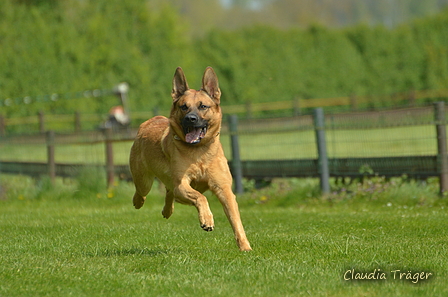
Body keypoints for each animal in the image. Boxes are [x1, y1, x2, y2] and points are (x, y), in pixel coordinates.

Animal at [130, 66, 252, 250]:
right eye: (183, 107)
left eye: (203, 106)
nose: (190, 119)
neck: (199, 152)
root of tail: (150, 121)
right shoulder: (182, 185)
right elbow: (200, 197)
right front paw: (207, 219)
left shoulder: (224, 189)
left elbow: (236, 221)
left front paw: (245, 247)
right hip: (144, 181)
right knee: (143, 191)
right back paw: (138, 202)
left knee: (169, 192)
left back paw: (167, 210)